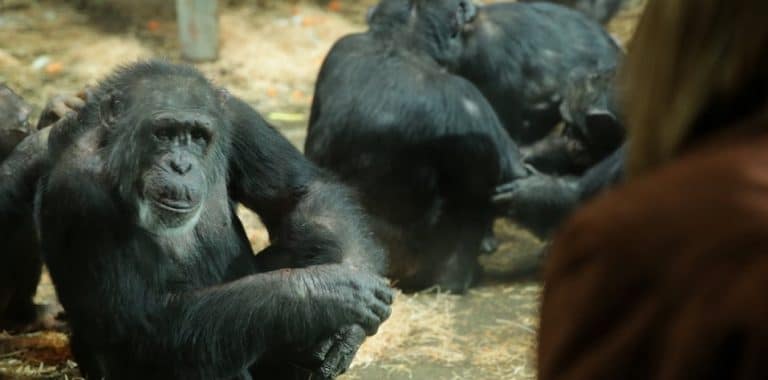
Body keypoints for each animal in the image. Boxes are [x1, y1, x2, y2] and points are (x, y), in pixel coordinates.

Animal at [1, 60, 390, 378]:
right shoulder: (81, 192)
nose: (181, 165)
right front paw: (325, 294)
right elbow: (144, 324)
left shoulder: (237, 116)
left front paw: (346, 330)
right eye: (163, 133)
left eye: (198, 137)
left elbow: (302, 193)